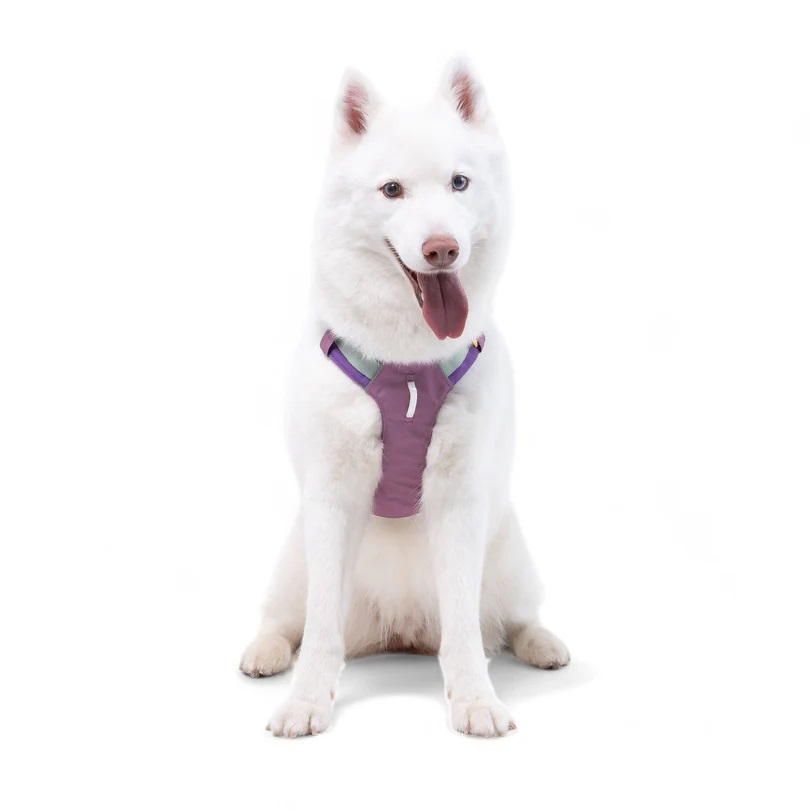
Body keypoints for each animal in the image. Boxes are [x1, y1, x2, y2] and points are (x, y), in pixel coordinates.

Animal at [240, 57, 569, 737]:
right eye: (391, 190)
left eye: (460, 183)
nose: (442, 248)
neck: (408, 364)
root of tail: (401, 630)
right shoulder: (332, 498)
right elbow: (320, 632)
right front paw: (307, 701)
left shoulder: (461, 499)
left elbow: (467, 630)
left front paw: (474, 699)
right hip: (293, 559)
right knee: (287, 619)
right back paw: (265, 651)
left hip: (510, 552)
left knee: (509, 618)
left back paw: (541, 643)